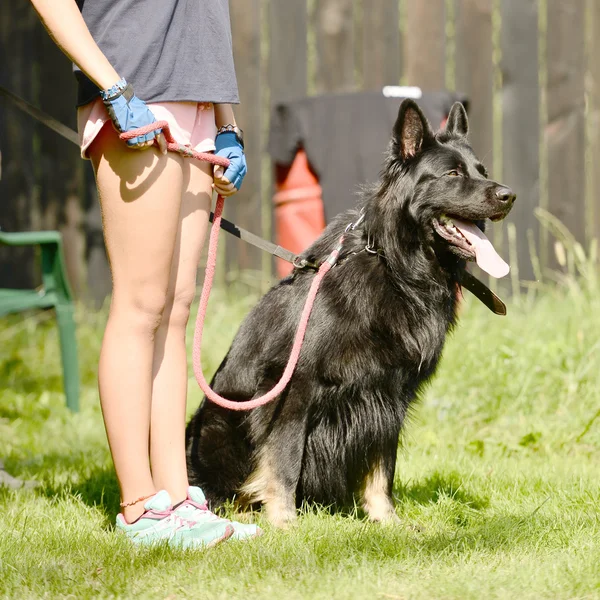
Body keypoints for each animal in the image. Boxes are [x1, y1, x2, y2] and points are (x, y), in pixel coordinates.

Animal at [185, 101, 512, 528]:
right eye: (453, 174)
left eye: (482, 171)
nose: (509, 195)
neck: (395, 266)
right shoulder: (292, 388)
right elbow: (284, 460)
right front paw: (285, 523)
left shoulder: (389, 395)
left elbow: (382, 468)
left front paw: (387, 521)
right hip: (217, 425)